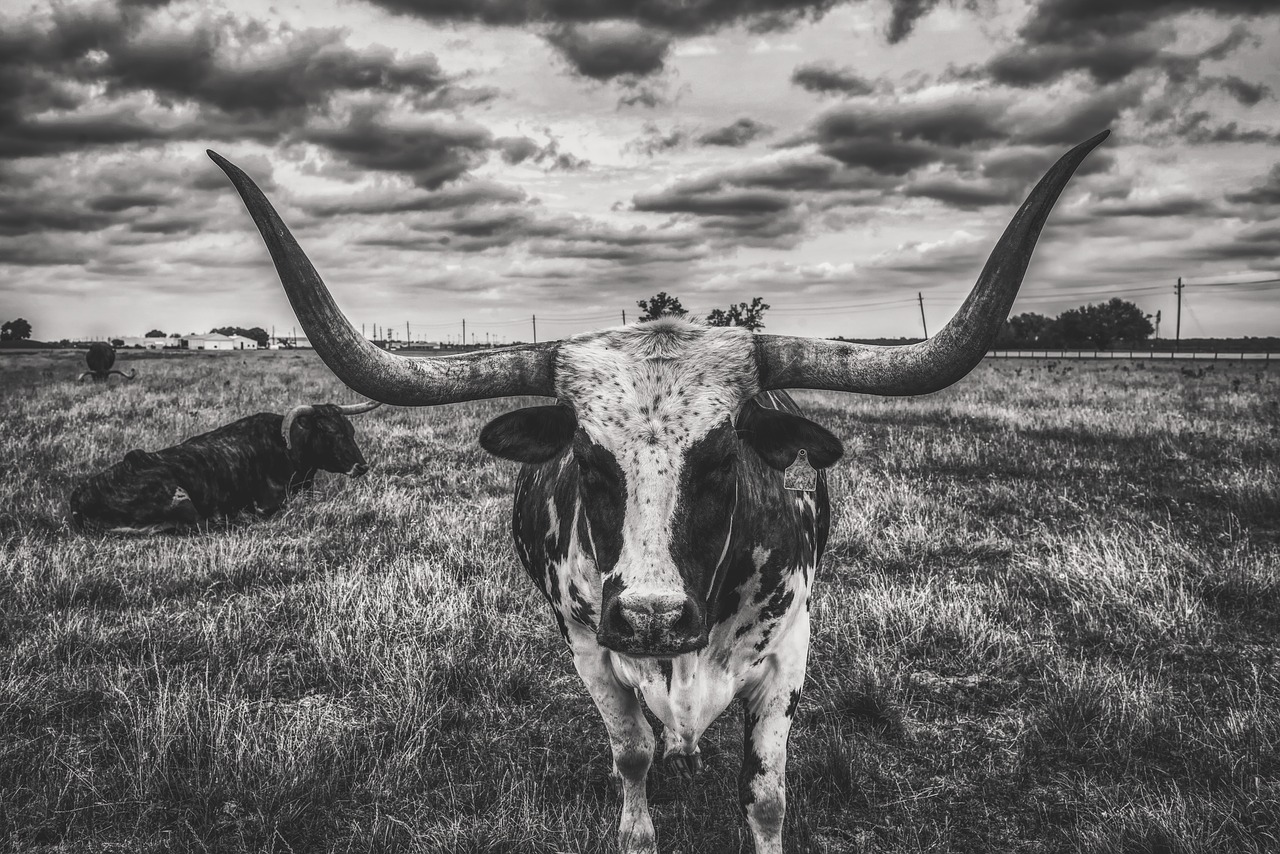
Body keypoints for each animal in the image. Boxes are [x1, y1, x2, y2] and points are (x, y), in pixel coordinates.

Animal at [70, 402, 378, 535]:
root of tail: (80, 492)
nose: (361, 466)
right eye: (327, 431)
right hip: (179, 497)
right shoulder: (268, 504)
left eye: (349, 429)